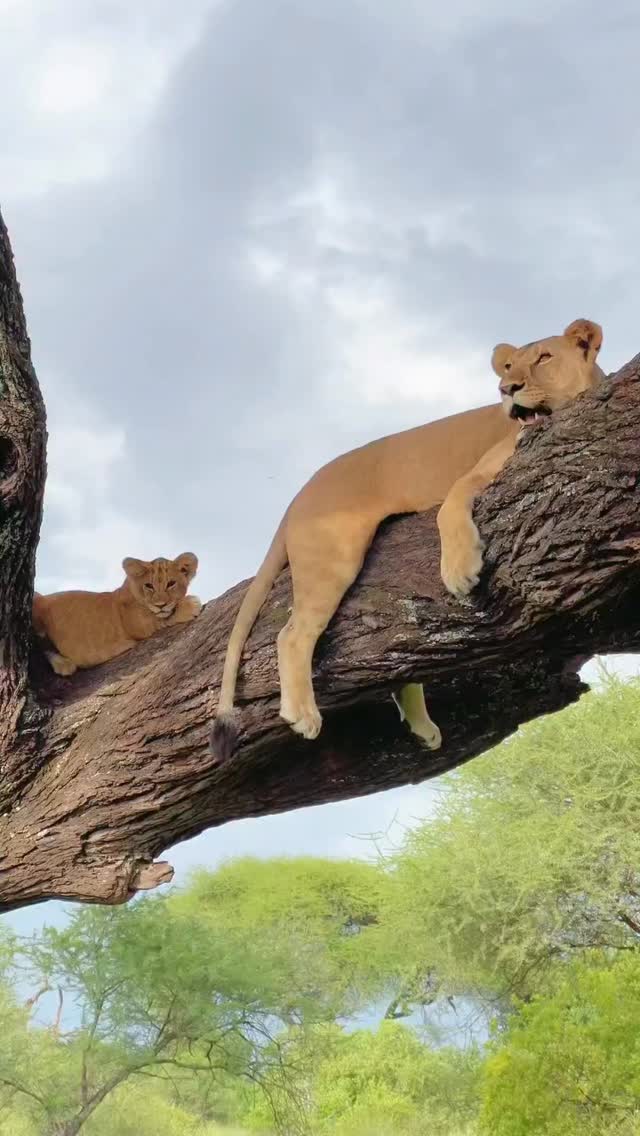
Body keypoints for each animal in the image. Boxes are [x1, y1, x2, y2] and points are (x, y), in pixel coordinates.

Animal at [33, 553, 201, 675]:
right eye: (149, 586)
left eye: (171, 583)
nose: (160, 605)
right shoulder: (135, 623)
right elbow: (159, 618)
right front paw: (190, 605)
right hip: (36, 599)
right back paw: (63, 664)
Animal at [210, 319, 604, 761]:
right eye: (507, 367)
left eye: (544, 358)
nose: (507, 389)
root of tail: (298, 496)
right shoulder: (477, 471)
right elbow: (448, 510)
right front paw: (460, 572)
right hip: (332, 556)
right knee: (293, 634)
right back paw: (303, 715)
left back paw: (421, 725)